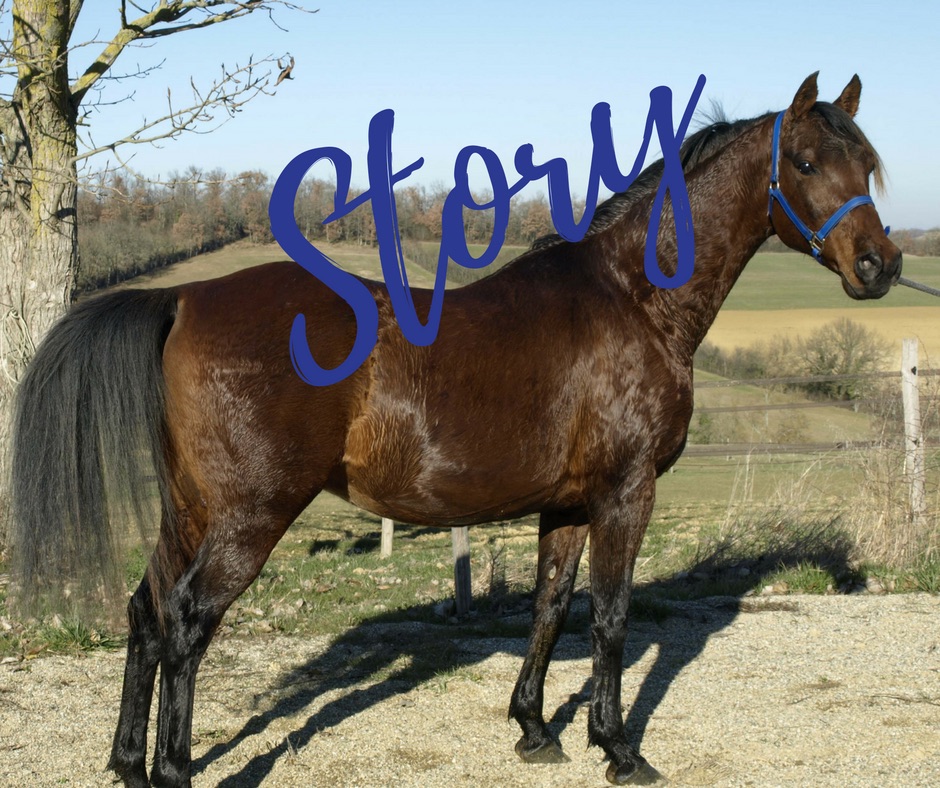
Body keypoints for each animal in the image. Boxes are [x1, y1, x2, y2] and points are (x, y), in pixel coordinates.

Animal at [11, 72, 900, 787]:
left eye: (867, 164)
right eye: (806, 163)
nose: (880, 266)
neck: (632, 300)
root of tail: (185, 298)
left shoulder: (568, 503)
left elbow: (550, 606)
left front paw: (535, 730)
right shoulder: (626, 493)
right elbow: (611, 618)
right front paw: (620, 750)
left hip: (191, 508)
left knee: (145, 612)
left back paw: (128, 762)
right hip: (247, 516)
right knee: (188, 623)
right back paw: (172, 768)